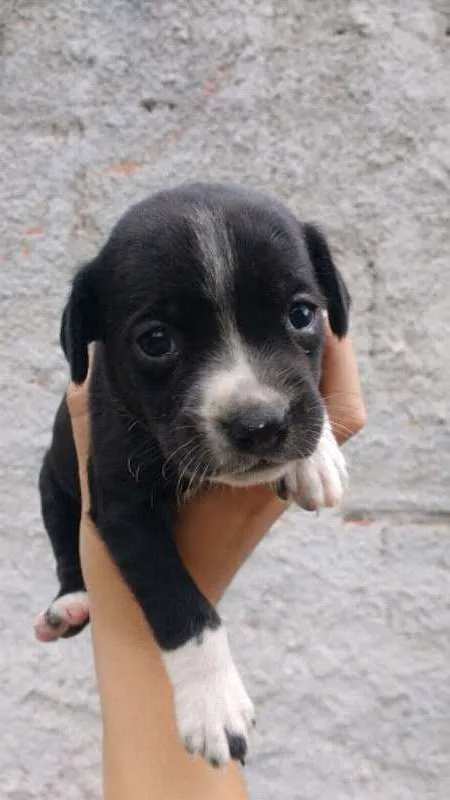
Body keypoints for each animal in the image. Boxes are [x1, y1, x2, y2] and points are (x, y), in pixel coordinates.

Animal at [35, 183, 350, 768]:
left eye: (301, 314)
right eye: (156, 341)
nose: (260, 424)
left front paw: (317, 458)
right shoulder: (122, 508)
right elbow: (180, 604)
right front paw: (213, 704)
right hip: (52, 482)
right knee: (65, 544)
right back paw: (70, 602)